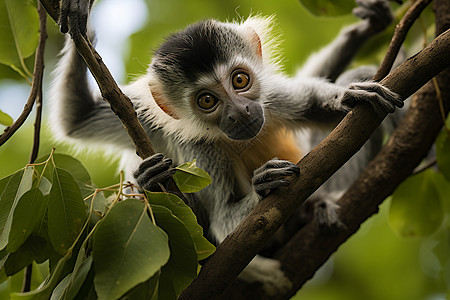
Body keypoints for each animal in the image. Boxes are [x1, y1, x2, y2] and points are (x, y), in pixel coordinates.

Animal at [51, 0, 402, 292]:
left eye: (240, 80)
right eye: (207, 100)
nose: (240, 111)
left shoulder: (271, 98)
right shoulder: (167, 131)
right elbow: (78, 119)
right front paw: (265, 184)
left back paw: (321, 204)